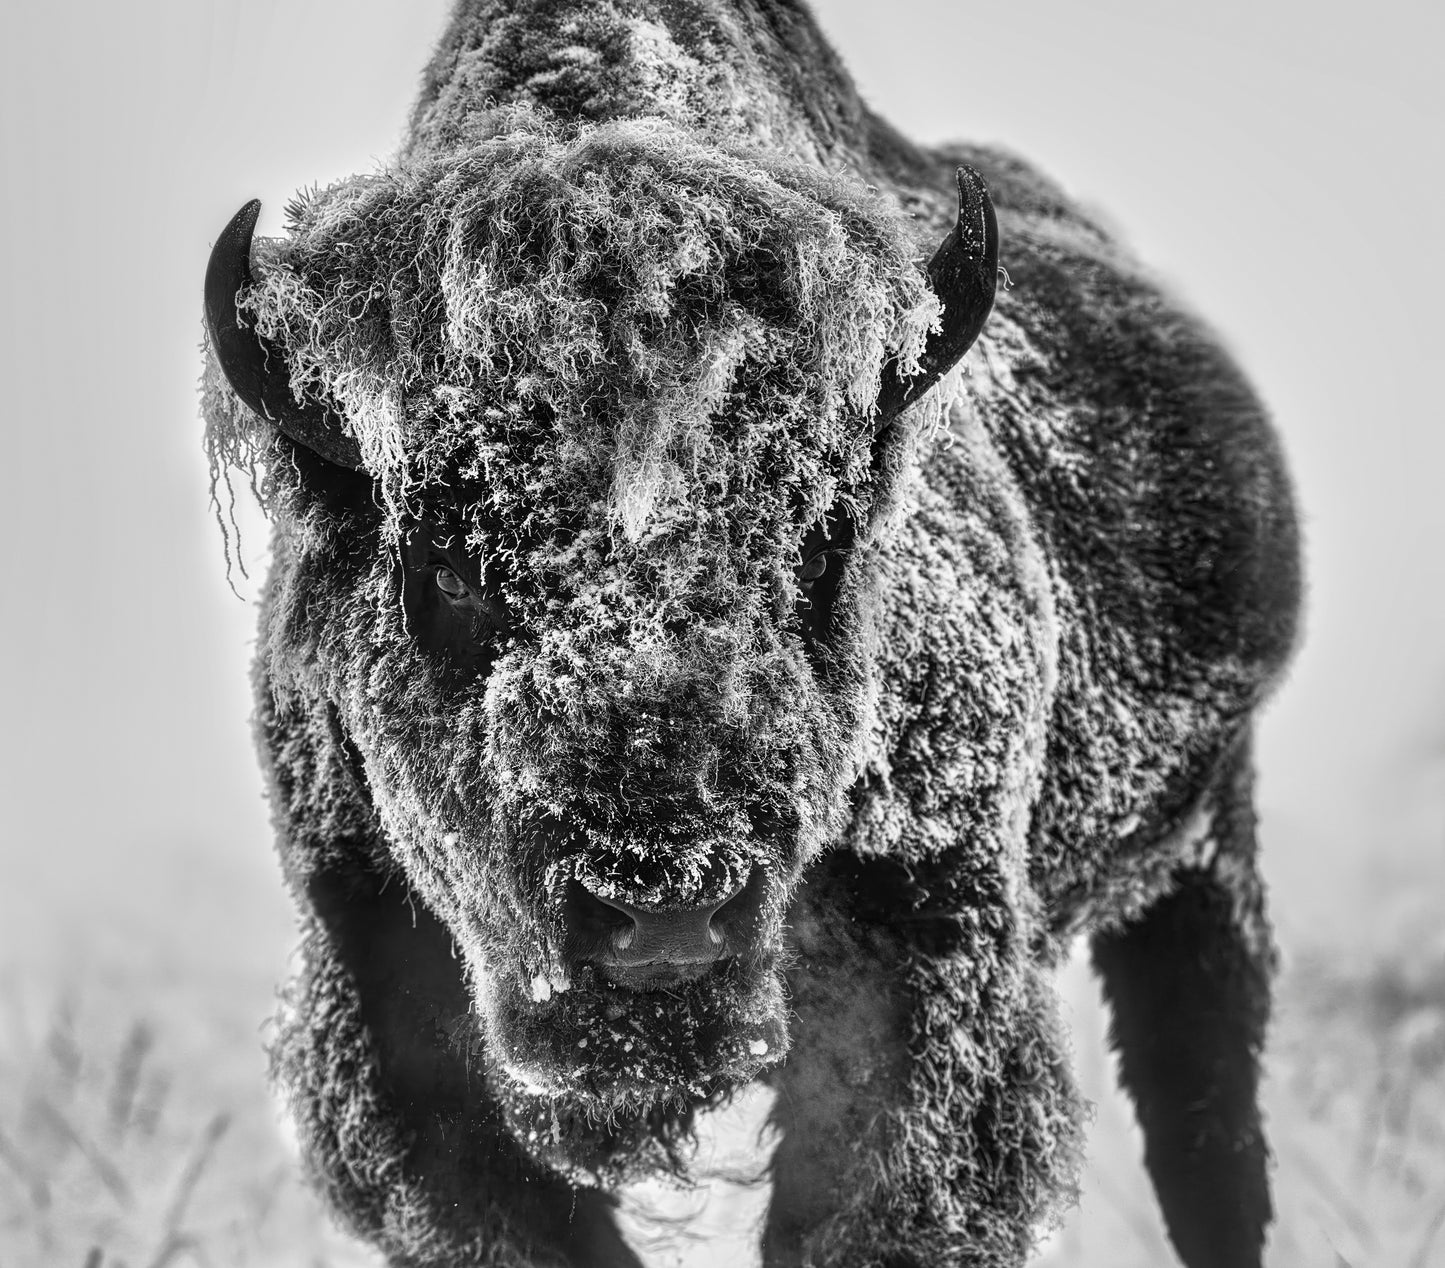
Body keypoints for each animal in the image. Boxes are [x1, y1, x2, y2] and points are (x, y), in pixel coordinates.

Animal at [206, 2, 1312, 1268]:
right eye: (441, 558)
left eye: (818, 538)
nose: (661, 915)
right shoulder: (387, 1001)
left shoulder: (932, 982)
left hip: (1202, 855)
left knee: (1204, 1126)